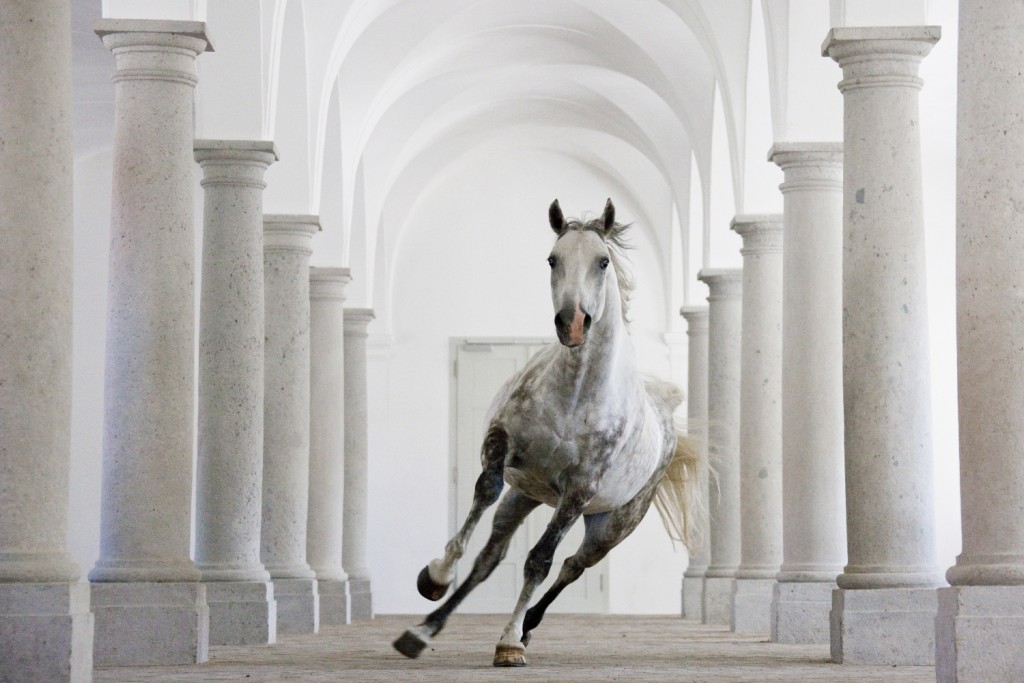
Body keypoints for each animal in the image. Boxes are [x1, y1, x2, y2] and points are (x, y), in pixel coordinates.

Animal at [393, 198, 707, 667]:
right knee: (491, 556)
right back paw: (425, 629)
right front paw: (436, 576)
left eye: (603, 260)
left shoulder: (578, 491)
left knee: (572, 565)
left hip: (610, 526)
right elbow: (484, 493)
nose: (572, 323)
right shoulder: (502, 444)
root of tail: (666, 418)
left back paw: (525, 627)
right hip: (525, 495)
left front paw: (508, 643)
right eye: (552, 259)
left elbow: (539, 561)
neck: (575, 396)